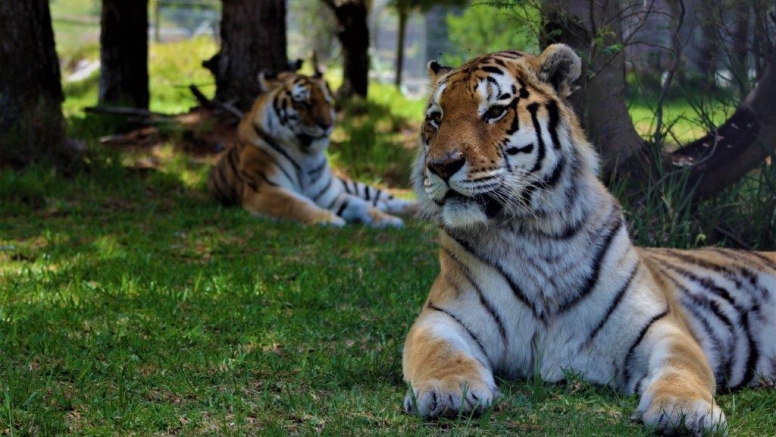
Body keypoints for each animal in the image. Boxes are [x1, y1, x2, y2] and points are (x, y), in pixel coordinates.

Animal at [208, 70, 418, 227]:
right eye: (304, 102)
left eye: (327, 101)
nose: (328, 125)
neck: (305, 153)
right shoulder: (264, 189)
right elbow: (297, 204)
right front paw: (330, 219)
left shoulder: (328, 194)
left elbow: (362, 205)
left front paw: (389, 220)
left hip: (353, 185)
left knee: (386, 198)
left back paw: (413, 208)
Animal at [404, 43, 772, 432]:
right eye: (436, 118)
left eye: (494, 112)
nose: (441, 166)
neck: (534, 231)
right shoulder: (441, 317)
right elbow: (440, 353)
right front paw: (448, 390)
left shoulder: (662, 327)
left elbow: (682, 367)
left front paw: (683, 410)